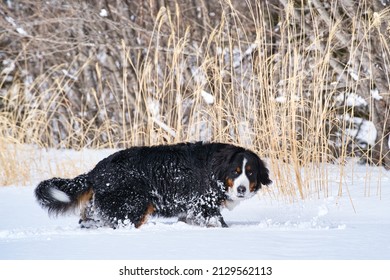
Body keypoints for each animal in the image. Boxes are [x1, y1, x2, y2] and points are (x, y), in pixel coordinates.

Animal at [35, 142, 272, 228]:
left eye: (250, 173)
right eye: (236, 172)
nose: (241, 189)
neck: (215, 171)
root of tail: (96, 170)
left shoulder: (191, 210)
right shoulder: (203, 205)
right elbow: (218, 222)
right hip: (134, 204)